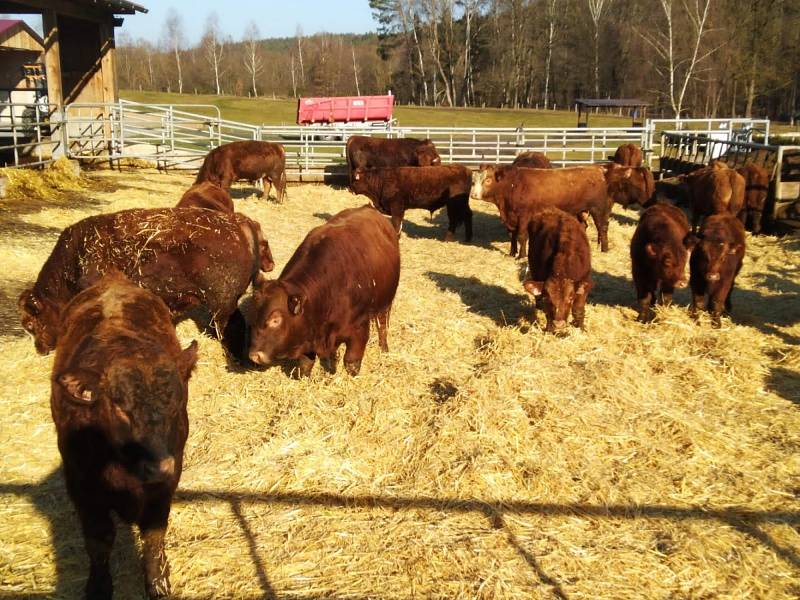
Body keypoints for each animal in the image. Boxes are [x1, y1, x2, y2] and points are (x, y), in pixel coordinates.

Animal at [50, 274, 197, 600]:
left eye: (178, 401)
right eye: (118, 405)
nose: (160, 467)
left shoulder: (165, 488)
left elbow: (154, 535)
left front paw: (158, 582)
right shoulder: (83, 491)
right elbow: (99, 542)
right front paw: (99, 586)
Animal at [250, 206, 400, 376]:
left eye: (276, 320)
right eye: (253, 314)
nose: (254, 356)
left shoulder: (359, 330)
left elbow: (351, 364)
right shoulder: (309, 332)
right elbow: (305, 365)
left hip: (385, 303)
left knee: (383, 325)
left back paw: (384, 348)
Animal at [472, 165, 608, 256]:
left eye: (488, 180)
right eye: (473, 181)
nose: (473, 195)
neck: (511, 185)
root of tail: (596, 169)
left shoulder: (524, 216)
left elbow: (521, 236)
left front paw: (521, 256)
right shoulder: (511, 217)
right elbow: (512, 235)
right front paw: (512, 253)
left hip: (598, 209)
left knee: (602, 228)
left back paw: (604, 250)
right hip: (580, 211)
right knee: (583, 226)